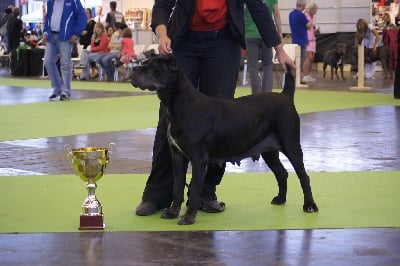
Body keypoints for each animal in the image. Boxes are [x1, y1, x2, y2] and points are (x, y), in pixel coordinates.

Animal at [131, 55, 318, 224]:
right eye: (144, 62)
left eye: (152, 66)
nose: (134, 69)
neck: (177, 104)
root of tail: (285, 96)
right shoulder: (177, 156)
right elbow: (177, 186)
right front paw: (172, 212)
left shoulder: (198, 160)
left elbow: (196, 188)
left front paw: (189, 217)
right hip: (269, 150)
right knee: (281, 173)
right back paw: (280, 199)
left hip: (291, 145)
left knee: (304, 176)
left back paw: (309, 206)